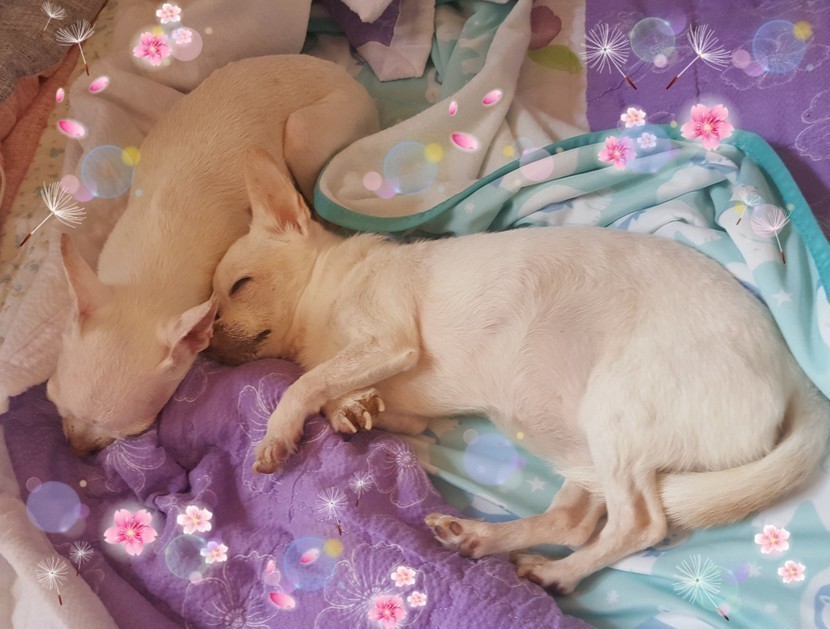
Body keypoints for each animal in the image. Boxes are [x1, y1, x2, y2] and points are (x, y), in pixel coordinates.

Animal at [46, 55, 379, 455]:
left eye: (134, 431)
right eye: (51, 398)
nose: (77, 449)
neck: (149, 272)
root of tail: (342, 73)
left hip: (305, 134)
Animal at [209, 146, 830, 594]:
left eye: (238, 288)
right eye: (210, 304)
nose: (206, 341)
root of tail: (795, 377)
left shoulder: (388, 340)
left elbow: (303, 382)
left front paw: (279, 432)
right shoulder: (402, 408)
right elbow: (336, 388)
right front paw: (350, 408)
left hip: (614, 411)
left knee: (638, 523)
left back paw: (558, 572)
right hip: (582, 442)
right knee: (575, 521)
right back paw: (480, 537)